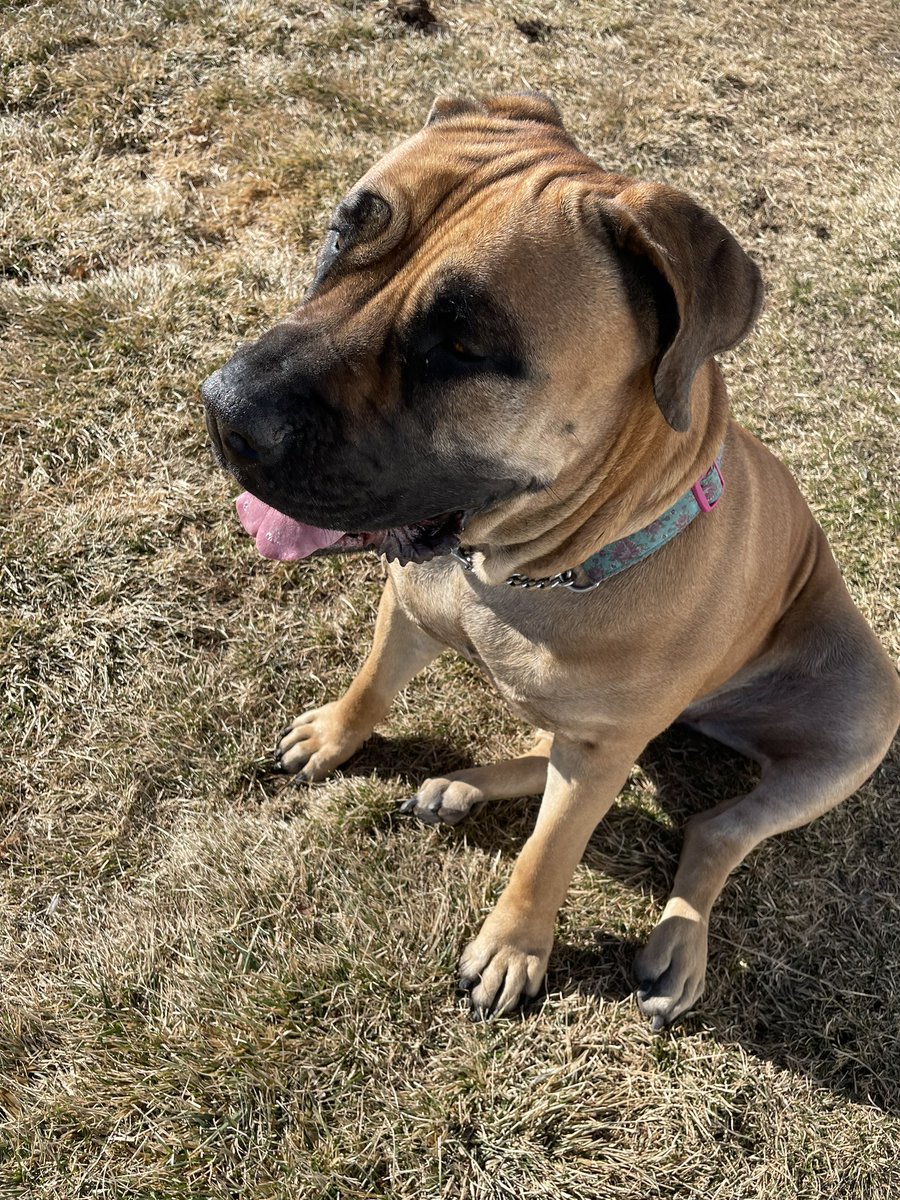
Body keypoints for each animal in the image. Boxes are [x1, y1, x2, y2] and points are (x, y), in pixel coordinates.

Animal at [204, 96, 900, 1032]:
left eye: (462, 345)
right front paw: (334, 735)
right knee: (558, 758)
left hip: (859, 717)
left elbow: (550, 856)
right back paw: (460, 787)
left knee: (713, 828)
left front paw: (513, 950)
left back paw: (678, 947)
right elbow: (373, 684)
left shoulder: (602, 745)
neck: (523, 571)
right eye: (341, 235)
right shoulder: (410, 609)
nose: (225, 410)